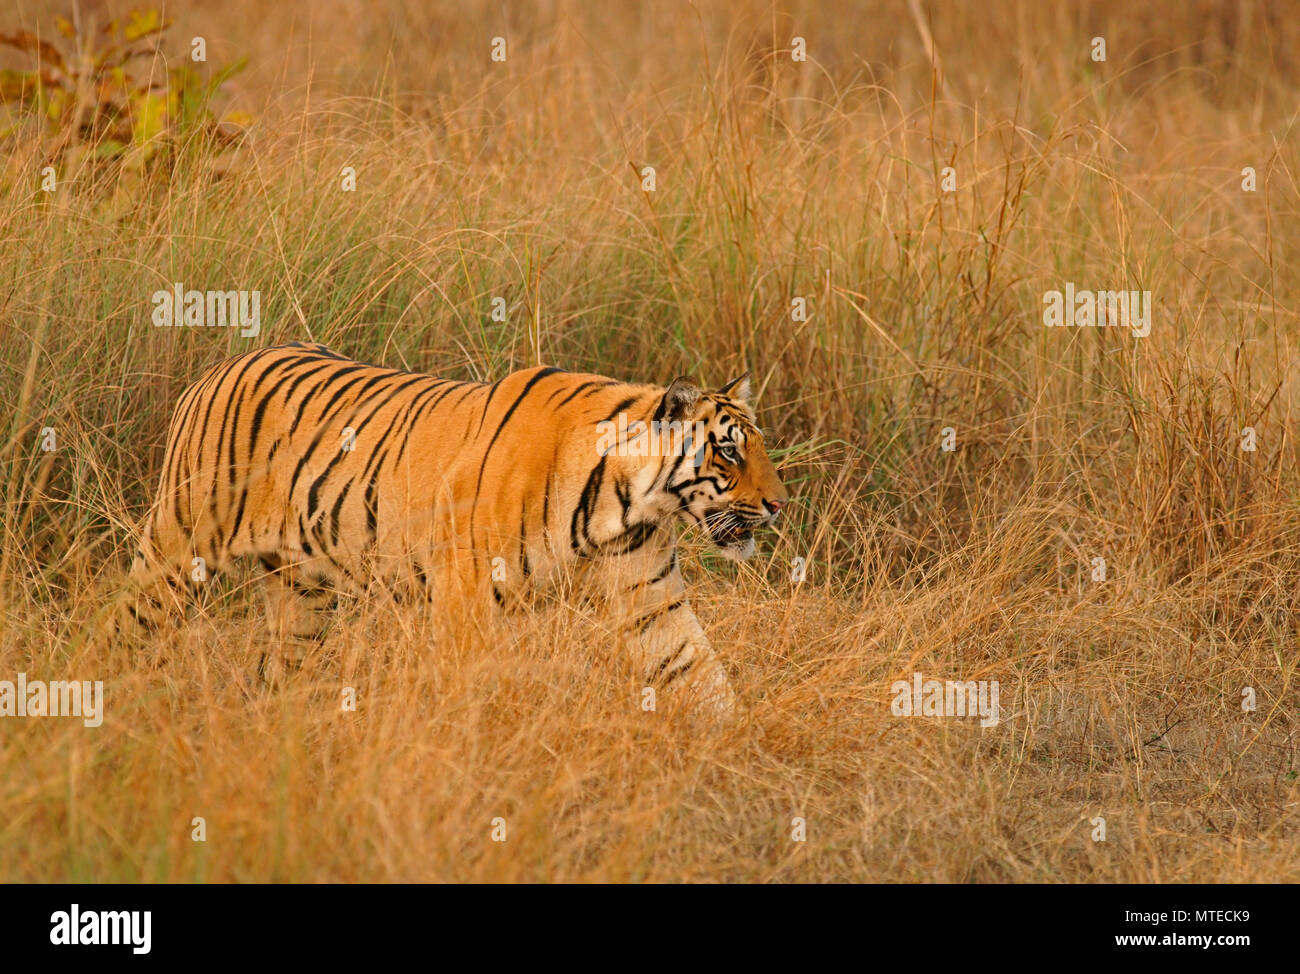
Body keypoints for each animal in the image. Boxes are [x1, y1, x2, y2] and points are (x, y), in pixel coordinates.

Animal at [116, 342, 788, 717]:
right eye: (729, 451)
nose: (780, 505)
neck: (628, 502)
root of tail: (219, 366)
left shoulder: (651, 597)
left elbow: (696, 670)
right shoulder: (467, 596)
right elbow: (469, 691)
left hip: (300, 593)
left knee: (279, 666)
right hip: (177, 548)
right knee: (126, 624)